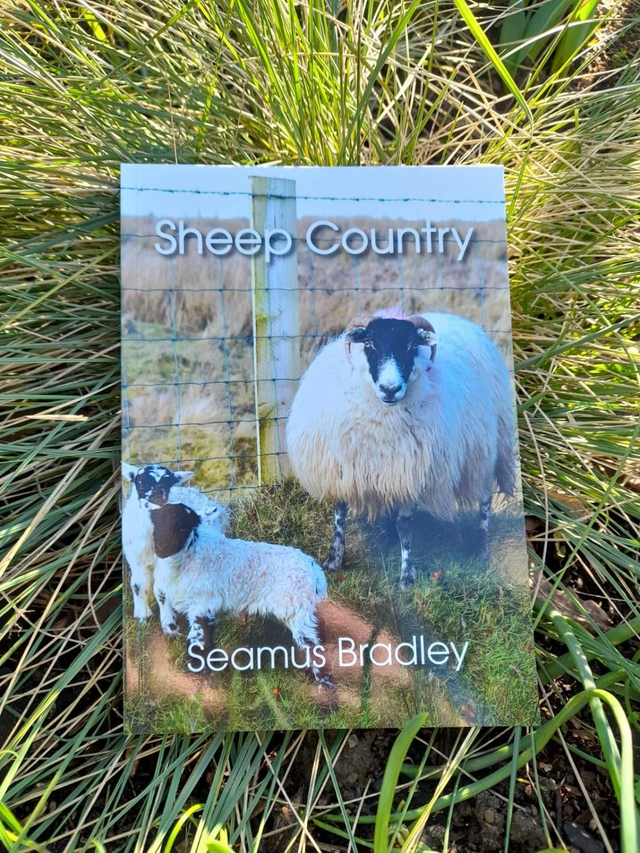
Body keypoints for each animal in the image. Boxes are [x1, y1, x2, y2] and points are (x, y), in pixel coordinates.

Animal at [146, 500, 328, 670]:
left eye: (184, 526)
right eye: (158, 523)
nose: (161, 547)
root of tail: (313, 567)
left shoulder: (203, 604)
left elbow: (198, 642)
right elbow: (161, 598)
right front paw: (170, 627)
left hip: (299, 612)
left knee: (313, 647)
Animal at [286, 308, 516, 587]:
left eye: (411, 346)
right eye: (368, 343)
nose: (390, 389)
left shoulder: (411, 473)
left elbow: (405, 526)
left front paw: (407, 576)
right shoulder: (343, 467)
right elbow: (340, 514)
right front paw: (333, 560)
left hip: (488, 449)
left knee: (484, 500)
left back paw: (482, 551)